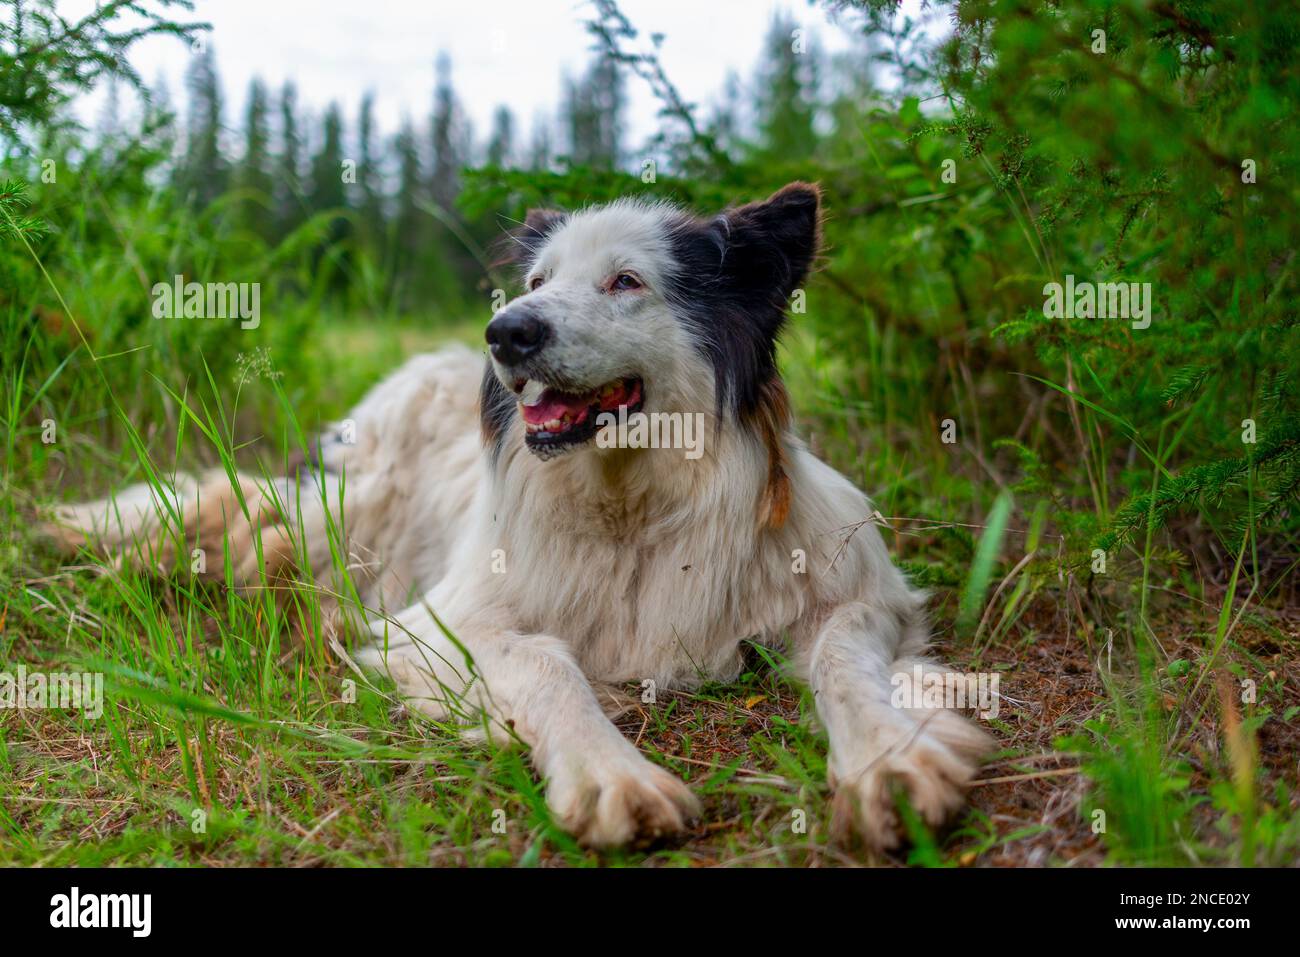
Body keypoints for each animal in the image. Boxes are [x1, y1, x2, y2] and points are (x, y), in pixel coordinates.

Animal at [45, 183, 987, 847]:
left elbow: (843, 661)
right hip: (349, 506)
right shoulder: (444, 624)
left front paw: (891, 757)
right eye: (538, 281)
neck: (630, 509)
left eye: (626, 281)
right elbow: (549, 665)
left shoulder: (857, 595)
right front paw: (611, 772)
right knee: (241, 516)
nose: (506, 331)